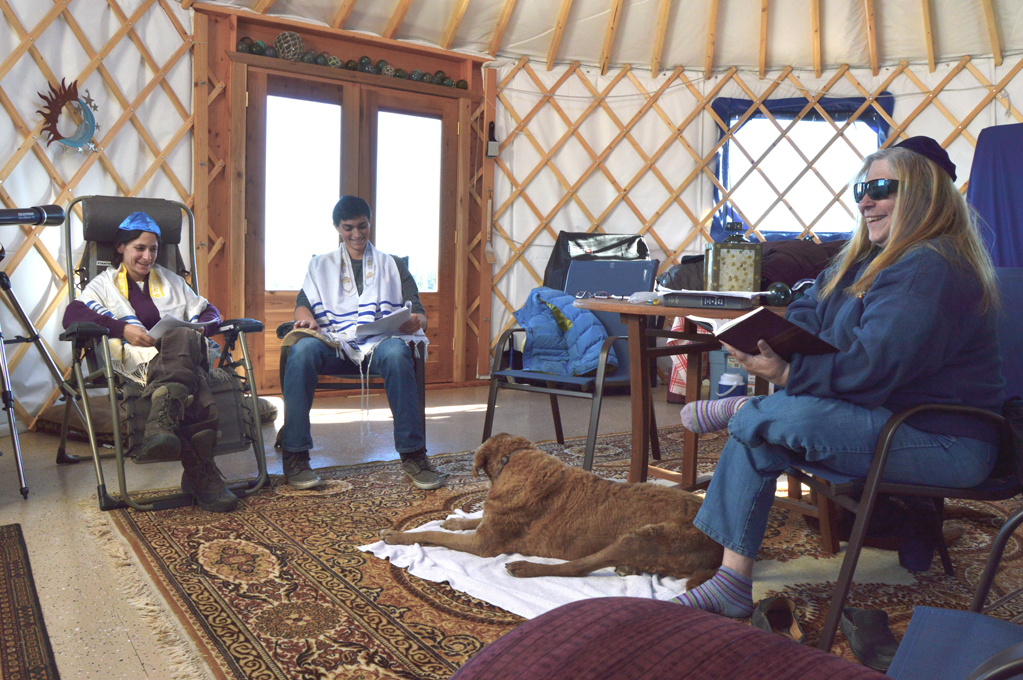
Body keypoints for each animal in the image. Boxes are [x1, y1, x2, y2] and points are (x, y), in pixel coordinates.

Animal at [380, 431, 724, 584]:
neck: (514, 461)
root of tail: (718, 548)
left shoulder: (484, 544)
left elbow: (432, 536)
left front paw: (397, 536)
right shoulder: (490, 521)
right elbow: (472, 519)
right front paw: (454, 521)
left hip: (643, 536)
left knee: (577, 567)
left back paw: (524, 567)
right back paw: (632, 568)